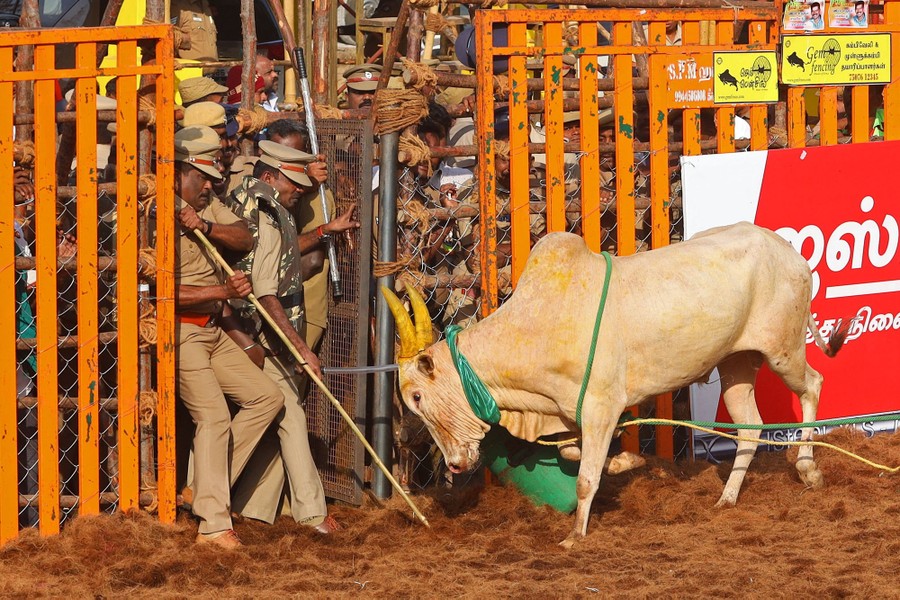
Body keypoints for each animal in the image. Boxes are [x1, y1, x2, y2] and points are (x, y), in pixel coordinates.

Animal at [382, 222, 849, 548]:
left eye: (417, 397)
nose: (455, 465)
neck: (538, 326)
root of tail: (788, 252)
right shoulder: (575, 415)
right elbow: (575, 455)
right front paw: (629, 462)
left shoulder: (602, 406)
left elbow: (585, 477)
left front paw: (575, 535)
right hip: (737, 364)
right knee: (750, 428)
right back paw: (727, 498)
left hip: (783, 350)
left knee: (813, 385)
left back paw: (808, 469)